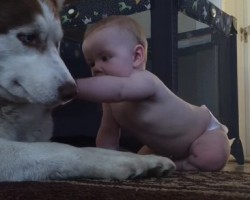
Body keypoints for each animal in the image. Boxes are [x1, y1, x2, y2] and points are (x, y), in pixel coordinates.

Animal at [0, 0, 174, 181]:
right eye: (28, 37)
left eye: (58, 42)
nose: (71, 92)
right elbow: (60, 148)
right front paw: (119, 162)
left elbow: (89, 147)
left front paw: (144, 159)